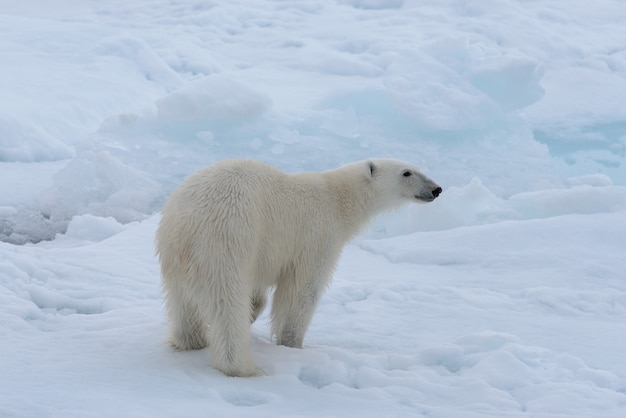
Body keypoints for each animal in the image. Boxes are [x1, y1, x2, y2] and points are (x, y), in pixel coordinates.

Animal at [155, 158, 438, 378]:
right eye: (406, 172)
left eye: (417, 167)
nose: (437, 189)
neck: (338, 199)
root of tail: (186, 224)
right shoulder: (315, 237)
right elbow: (302, 291)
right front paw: (293, 344)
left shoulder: (267, 253)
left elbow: (260, 293)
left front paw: (254, 313)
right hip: (228, 241)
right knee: (227, 303)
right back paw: (243, 367)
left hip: (174, 256)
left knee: (183, 303)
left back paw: (192, 341)